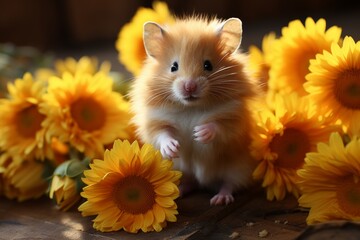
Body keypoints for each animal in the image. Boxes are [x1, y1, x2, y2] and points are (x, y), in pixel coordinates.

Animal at [129, 15, 258, 205]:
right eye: (173, 67)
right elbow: (162, 134)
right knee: (190, 183)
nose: (189, 86)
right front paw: (173, 148)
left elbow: (219, 127)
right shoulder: (155, 121)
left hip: (239, 169)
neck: (190, 108)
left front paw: (198, 133)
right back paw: (179, 192)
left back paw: (219, 199)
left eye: (208, 65)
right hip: (180, 172)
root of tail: (205, 183)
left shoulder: (234, 119)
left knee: (230, 184)